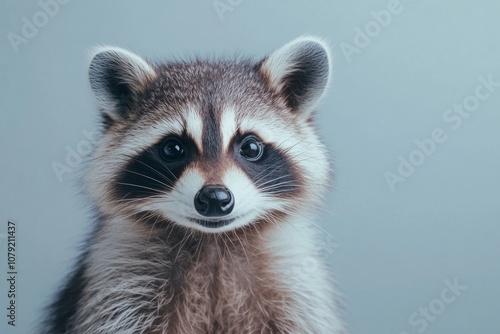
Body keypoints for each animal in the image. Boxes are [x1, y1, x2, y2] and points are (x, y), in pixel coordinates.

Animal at [43, 36, 346, 334]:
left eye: (250, 147)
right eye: (173, 149)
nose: (215, 198)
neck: (214, 242)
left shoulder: (297, 286)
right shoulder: (117, 283)